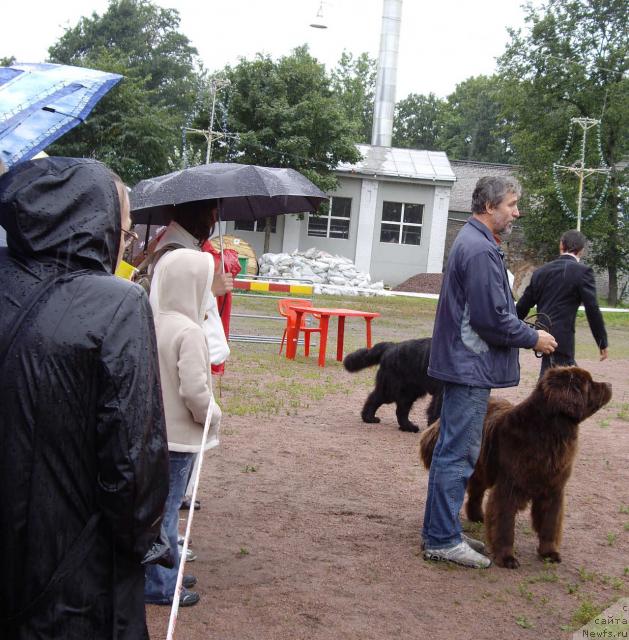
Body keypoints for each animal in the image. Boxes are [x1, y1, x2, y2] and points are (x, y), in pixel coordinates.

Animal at [420, 368, 612, 568]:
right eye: (589, 383)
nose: (609, 385)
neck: (549, 432)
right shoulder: (508, 488)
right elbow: (504, 525)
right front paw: (506, 557)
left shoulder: (554, 489)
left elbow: (550, 524)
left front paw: (549, 553)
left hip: (483, 469)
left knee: (476, 492)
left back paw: (478, 516)